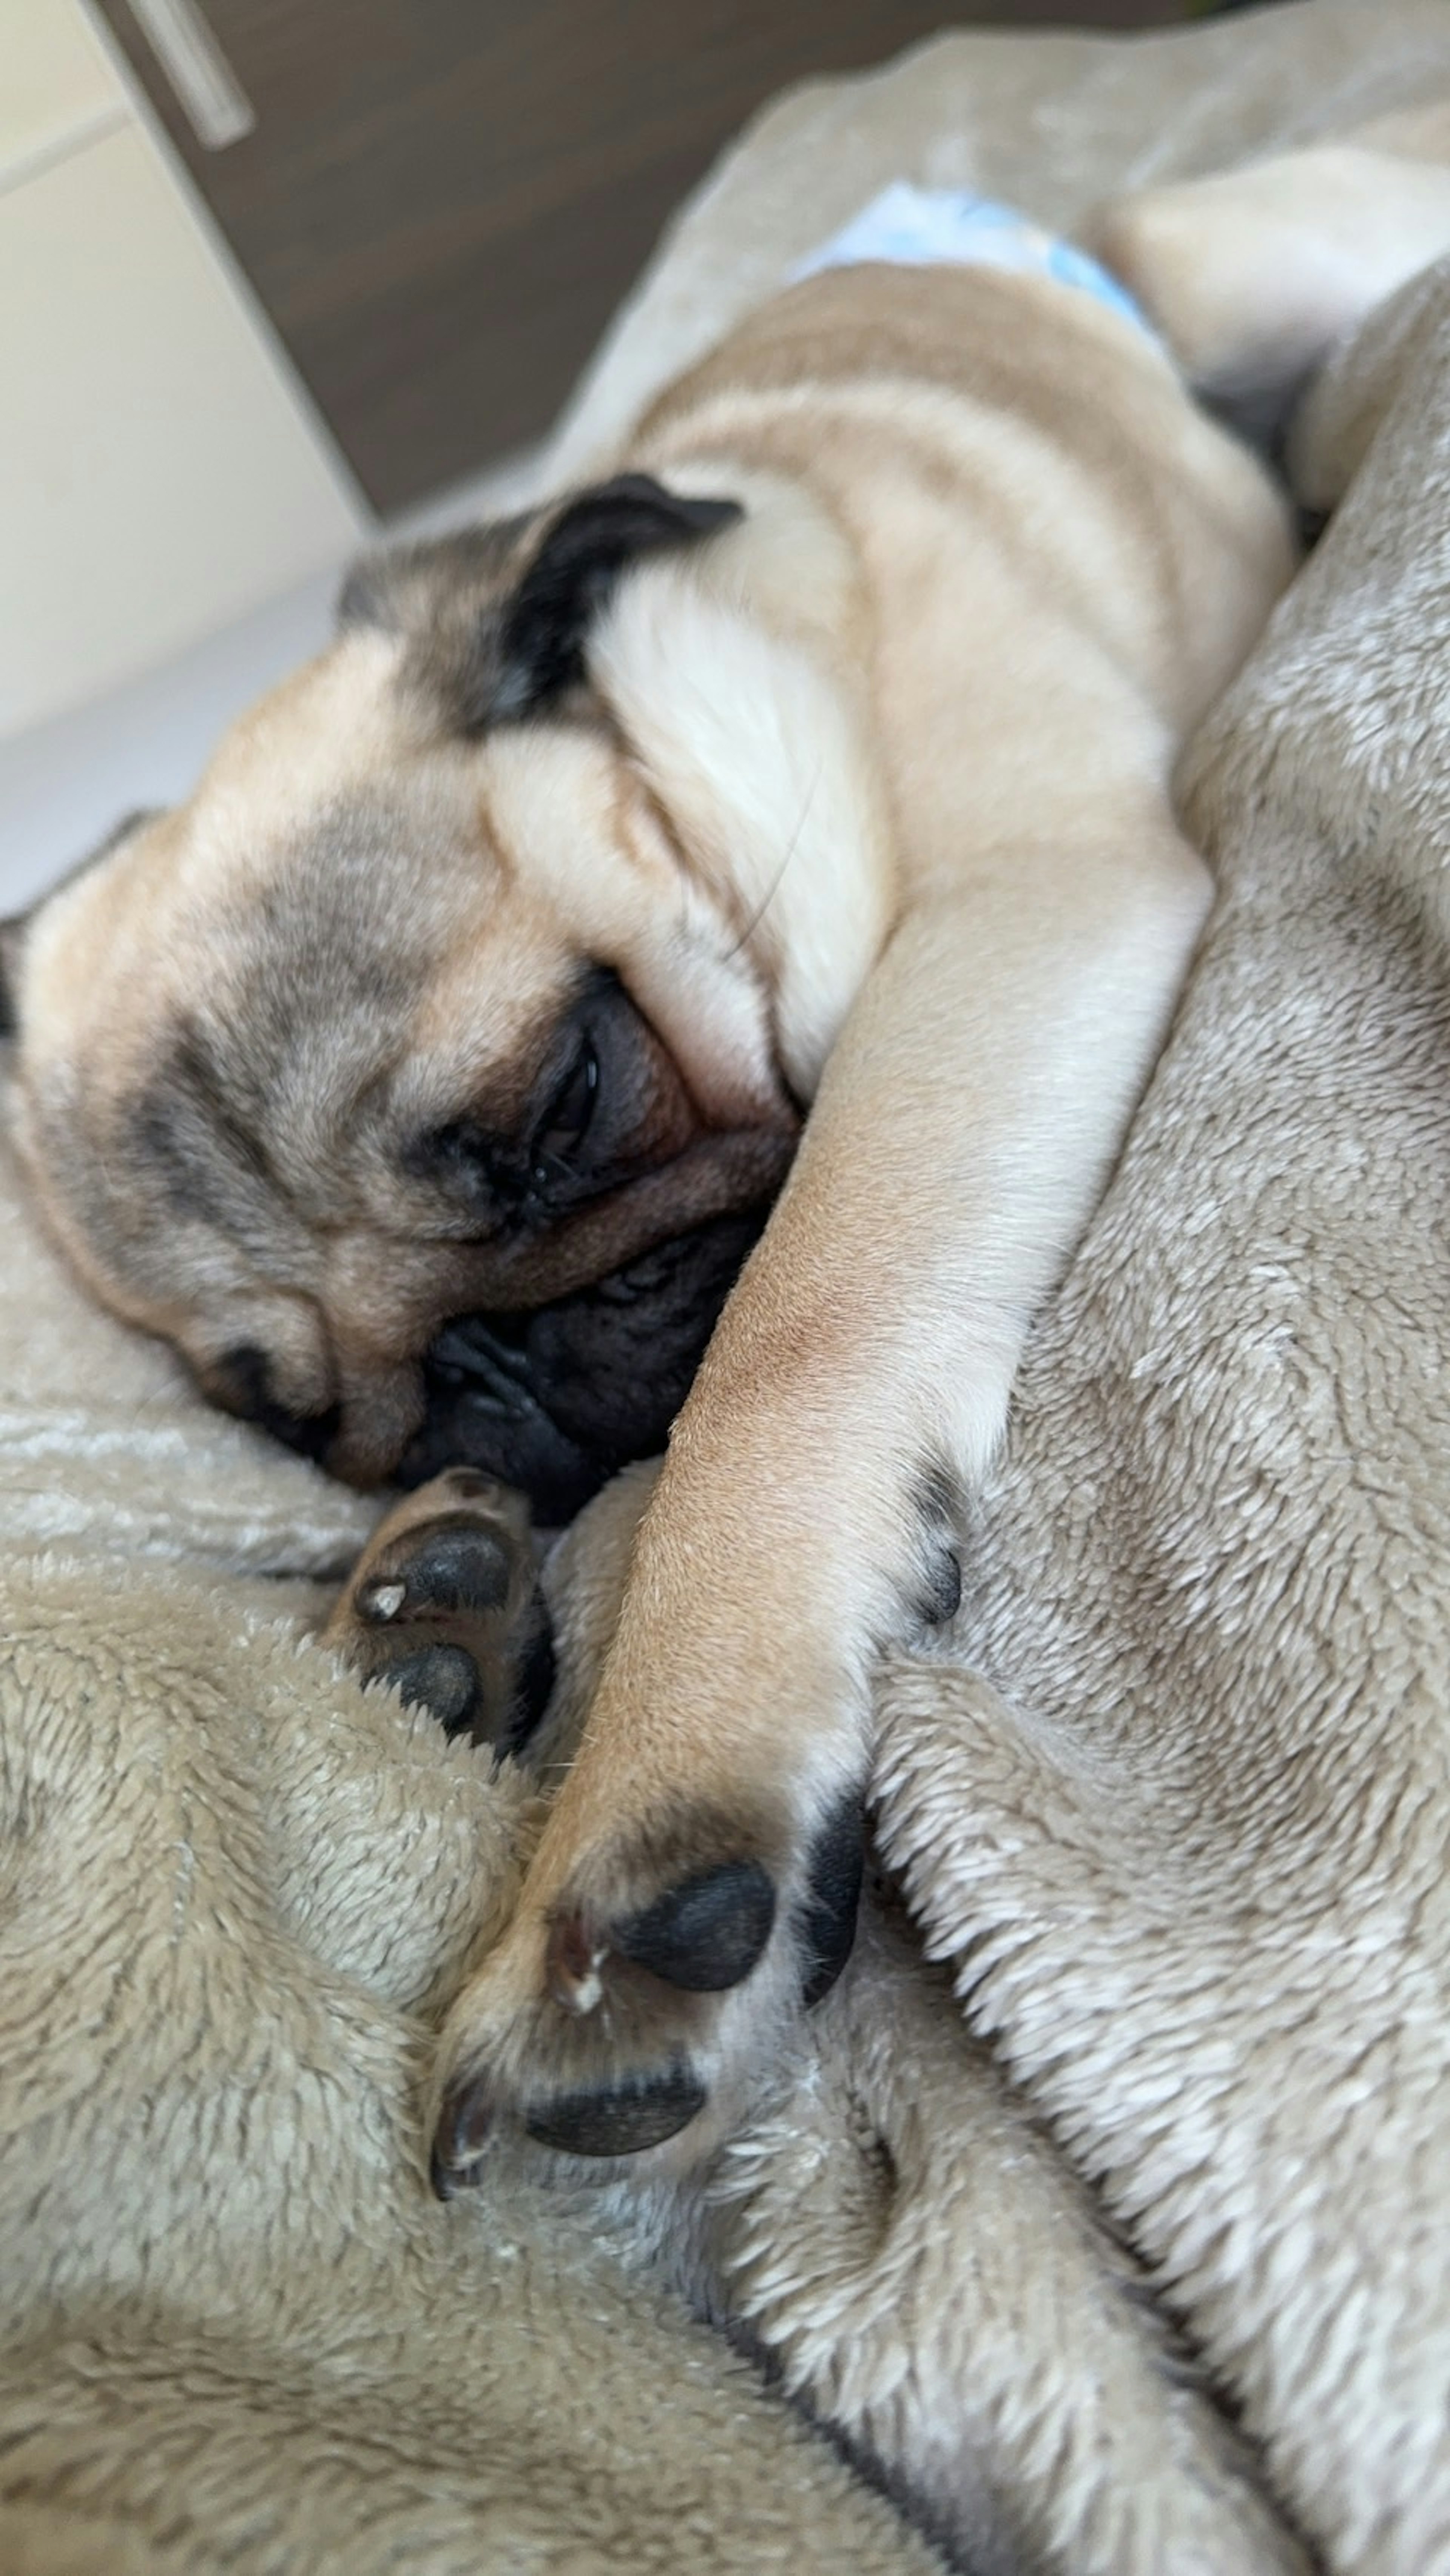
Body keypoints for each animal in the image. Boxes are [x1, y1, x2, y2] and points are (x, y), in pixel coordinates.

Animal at [6, 156, 1380, 2174]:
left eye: (566, 1101)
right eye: (304, 1427)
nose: (485, 1377)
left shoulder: (1010, 908)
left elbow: (793, 1334)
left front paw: (663, 1800)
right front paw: (421, 1601)